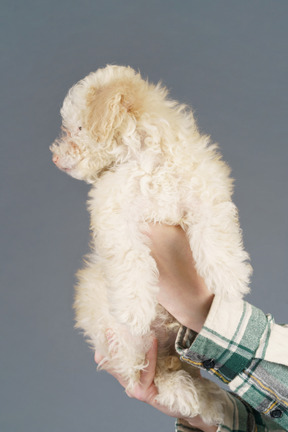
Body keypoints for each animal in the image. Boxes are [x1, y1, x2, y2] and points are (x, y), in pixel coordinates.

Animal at [50, 65, 251, 426]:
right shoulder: (116, 216)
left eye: (78, 128)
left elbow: (216, 233)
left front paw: (230, 278)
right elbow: (130, 259)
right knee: (148, 373)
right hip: (130, 341)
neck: (145, 158)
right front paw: (134, 306)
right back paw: (184, 393)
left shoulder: (203, 192)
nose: (56, 157)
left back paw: (213, 403)